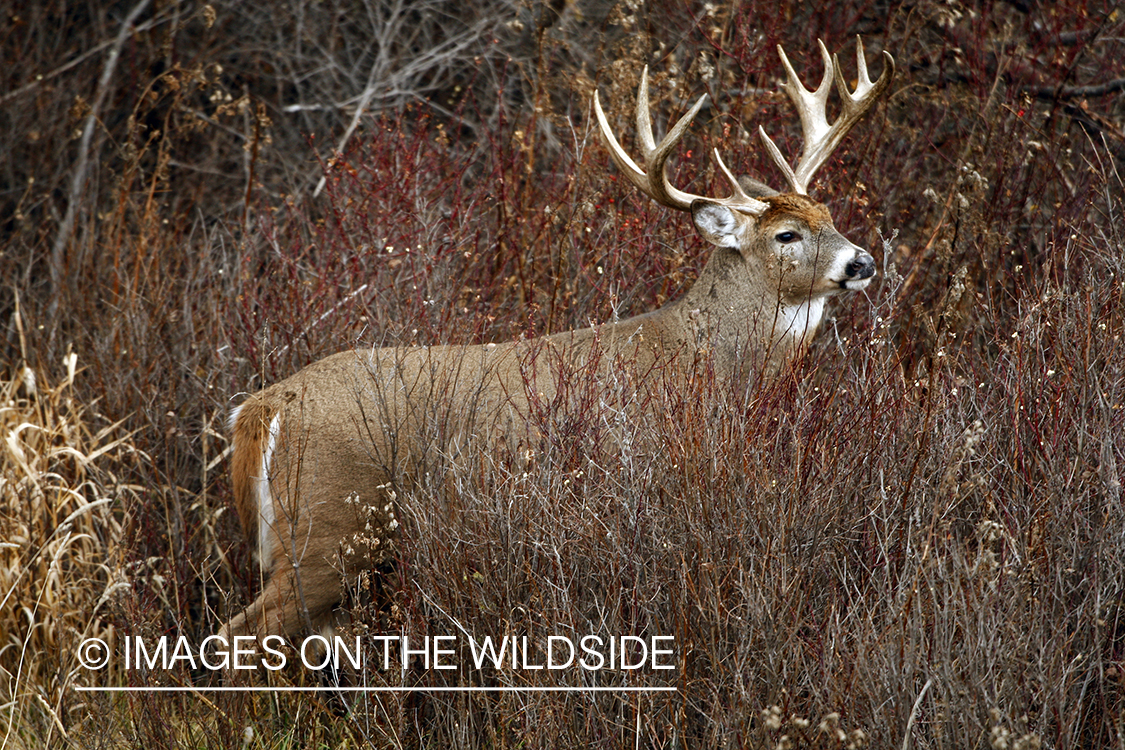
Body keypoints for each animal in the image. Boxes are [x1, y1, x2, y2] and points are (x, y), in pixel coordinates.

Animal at [217, 38, 886, 643]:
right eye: (786, 235)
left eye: (829, 215)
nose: (863, 262)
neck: (711, 361)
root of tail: (263, 407)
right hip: (328, 526)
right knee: (238, 634)